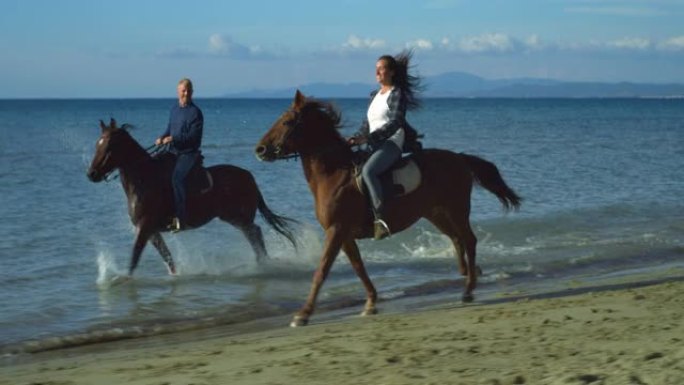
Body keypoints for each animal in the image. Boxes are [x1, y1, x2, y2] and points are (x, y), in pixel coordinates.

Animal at [87, 118, 296, 276]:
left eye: (110, 145)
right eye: (97, 143)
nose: (91, 174)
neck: (144, 179)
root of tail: (249, 177)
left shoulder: (145, 227)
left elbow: (134, 257)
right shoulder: (151, 231)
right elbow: (166, 257)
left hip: (239, 217)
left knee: (255, 233)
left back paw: (264, 264)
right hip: (234, 218)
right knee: (254, 235)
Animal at [254, 91, 520, 328]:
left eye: (287, 122)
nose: (260, 150)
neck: (334, 175)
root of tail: (459, 158)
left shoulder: (336, 230)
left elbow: (322, 271)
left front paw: (303, 314)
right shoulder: (344, 235)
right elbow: (358, 267)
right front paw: (371, 302)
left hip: (457, 210)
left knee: (469, 240)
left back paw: (468, 290)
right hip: (437, 213)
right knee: (457, 239)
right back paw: (469, 273)